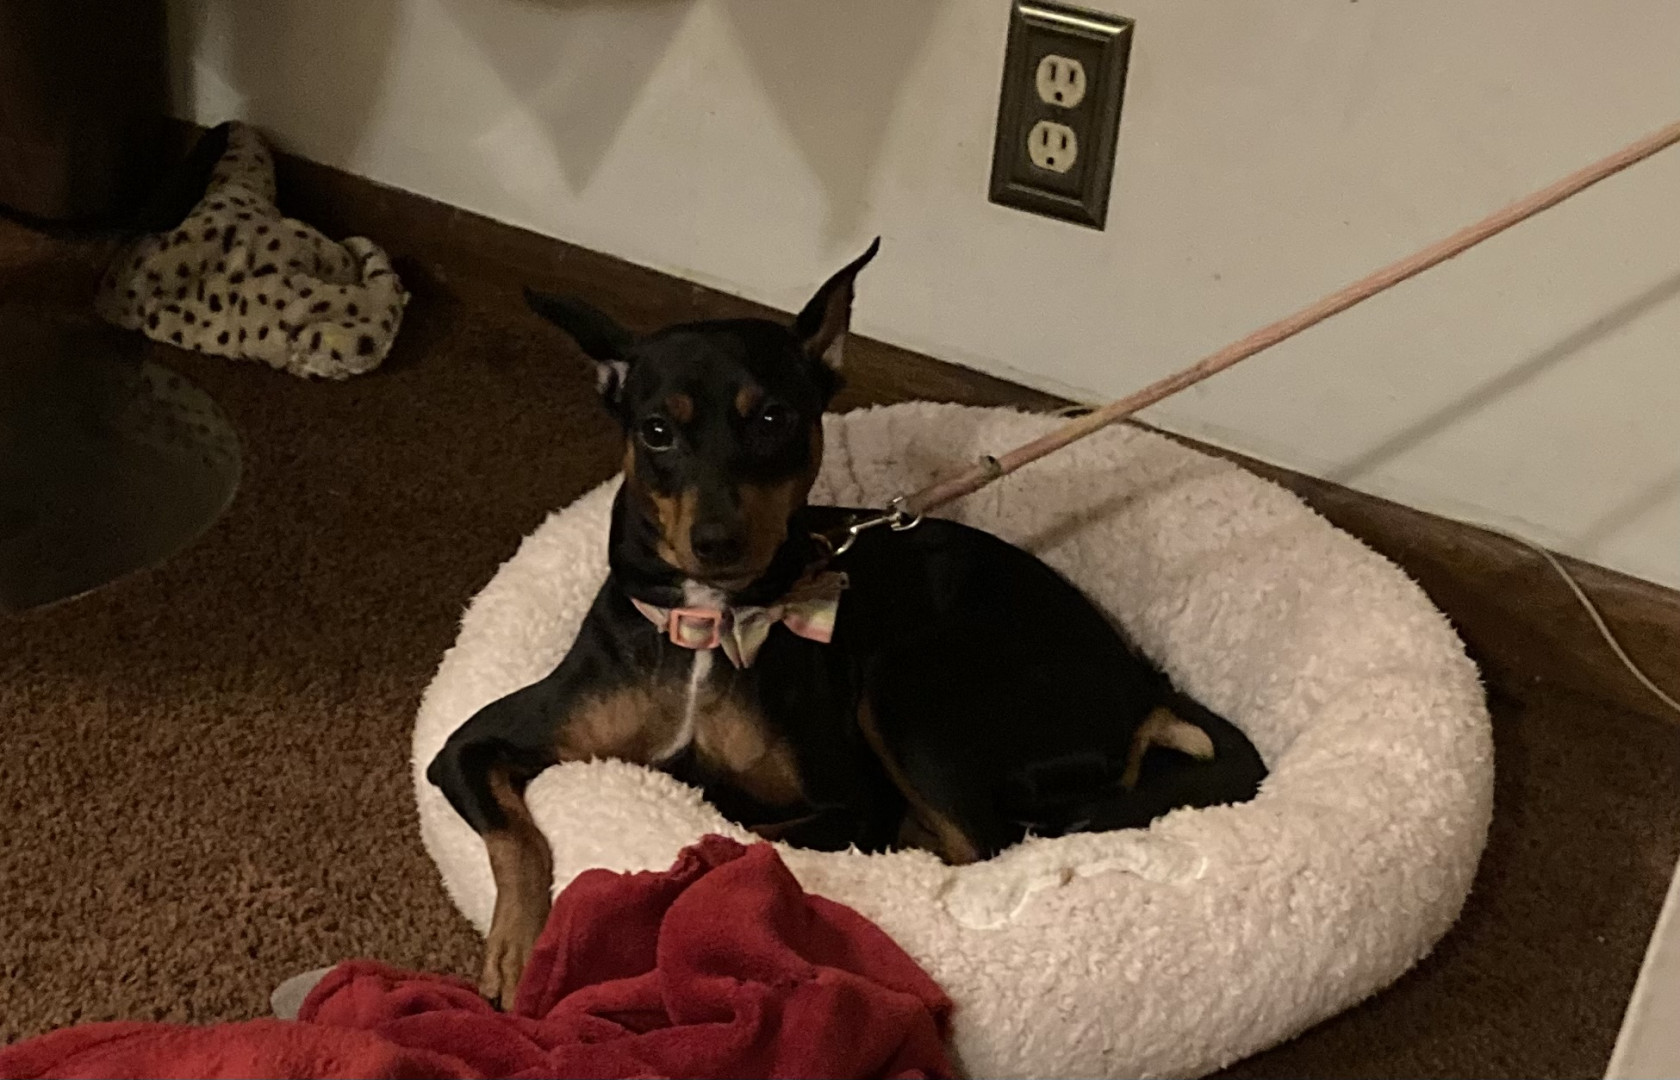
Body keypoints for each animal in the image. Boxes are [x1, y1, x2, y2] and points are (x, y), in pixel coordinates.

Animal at [427, 240, 1268, 1008]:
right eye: (657, 431)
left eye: (774, 417)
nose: (717, 541)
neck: (710, 623)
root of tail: (1144, 688)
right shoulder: (468, 748)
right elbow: (518, 837)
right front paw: (517, 950)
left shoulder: (849, 802)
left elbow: (745, 846)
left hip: (909, 691)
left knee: (984, 850)